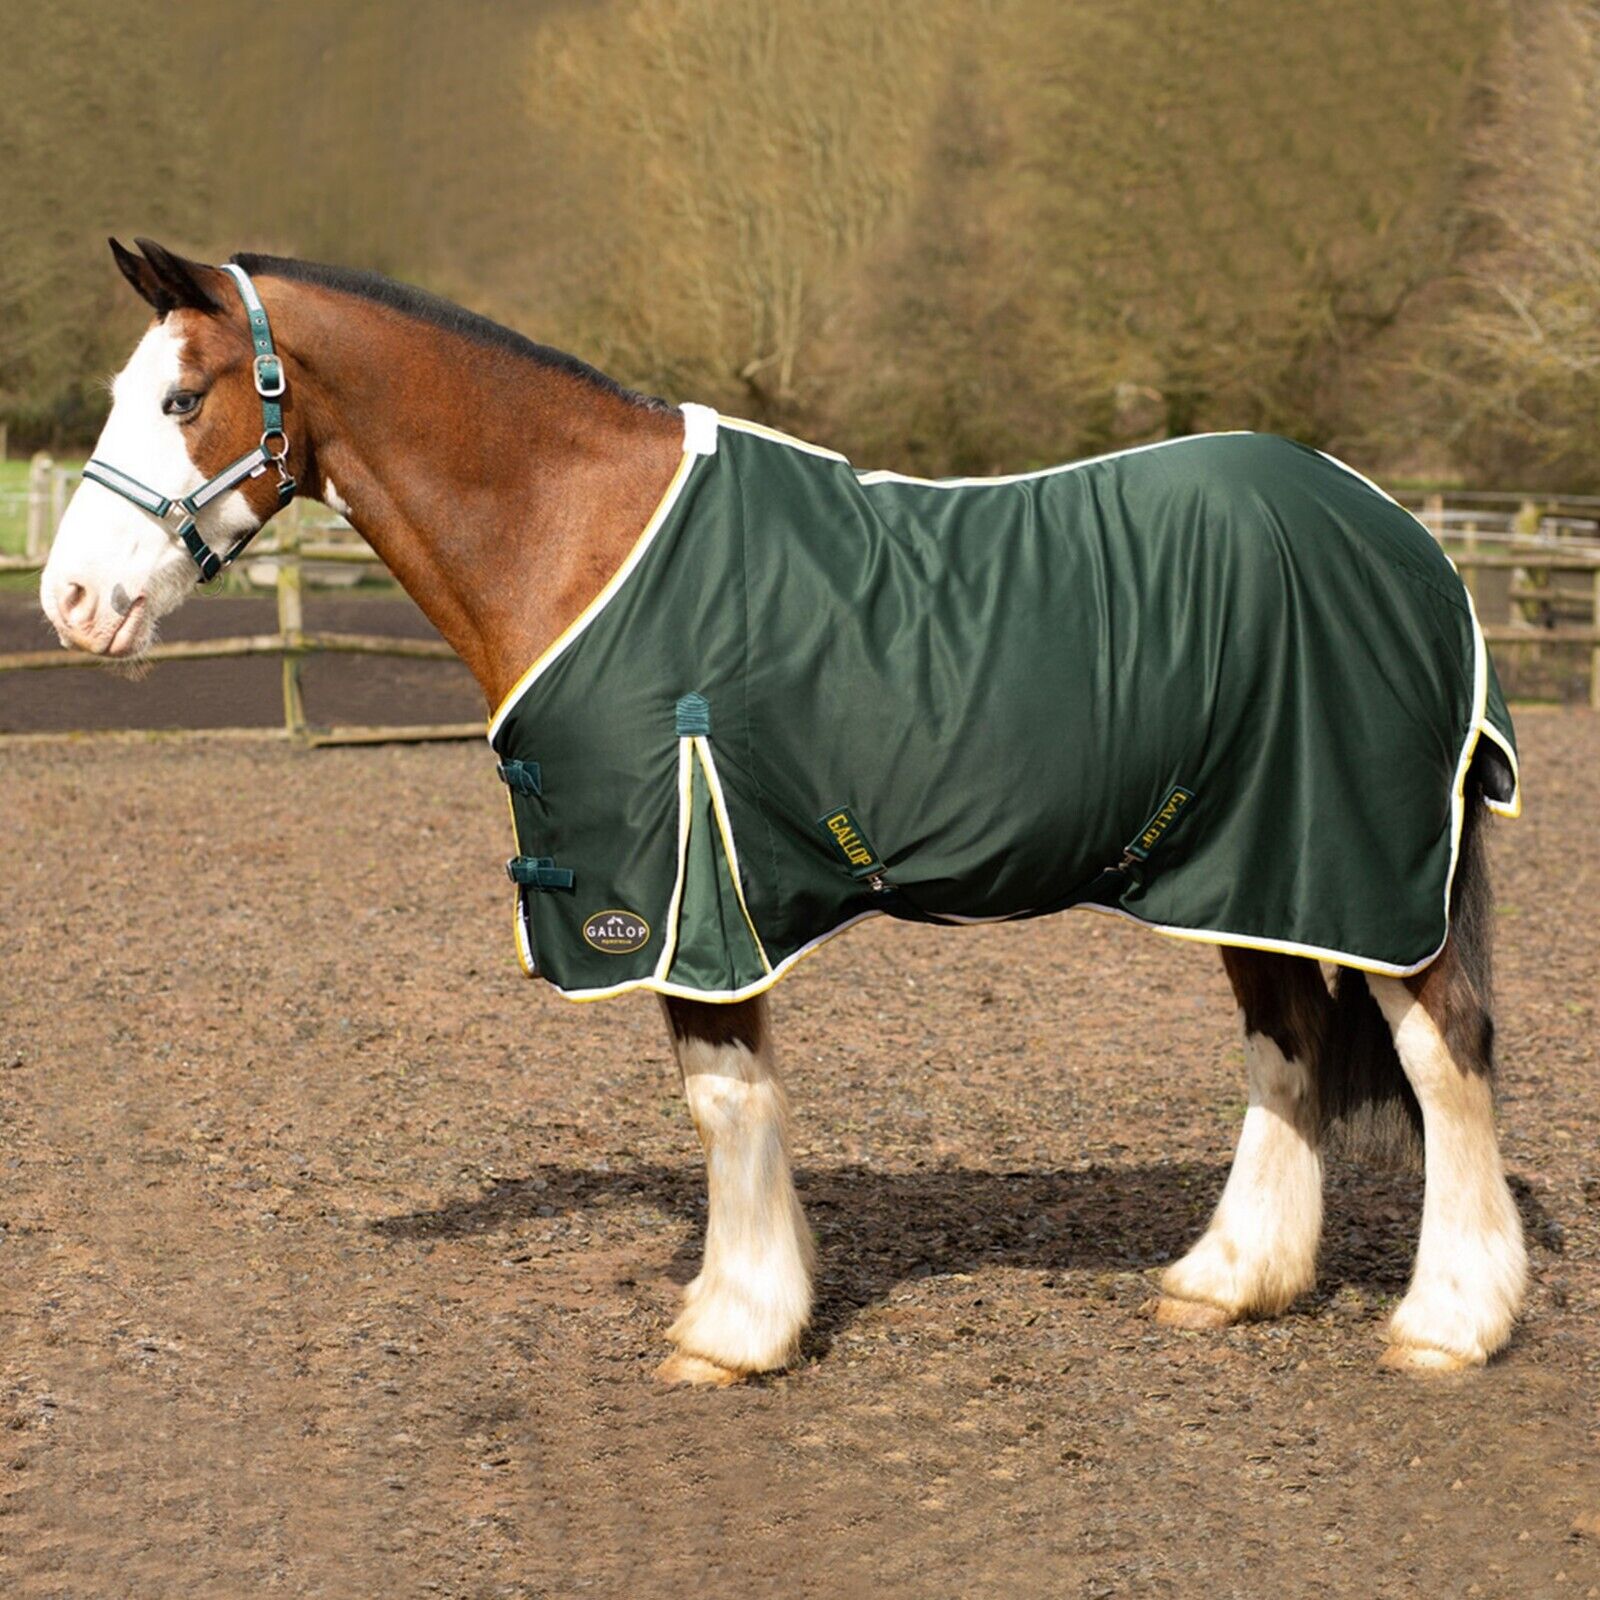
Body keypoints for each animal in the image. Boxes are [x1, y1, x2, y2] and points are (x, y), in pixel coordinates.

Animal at [38, 238, 1527, 1386]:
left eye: (181, 396)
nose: (69, 603)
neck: (584, 533)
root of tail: (1404, 537)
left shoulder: (687, 889)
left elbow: (723, 1101)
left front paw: (735, 1330)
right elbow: (730, 1103)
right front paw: (754, 1305)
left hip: (1363, 867)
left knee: (1444, 1052)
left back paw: (1449, 1323)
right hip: (1259, 866)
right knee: (1288, 1046)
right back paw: (1229, 1280)